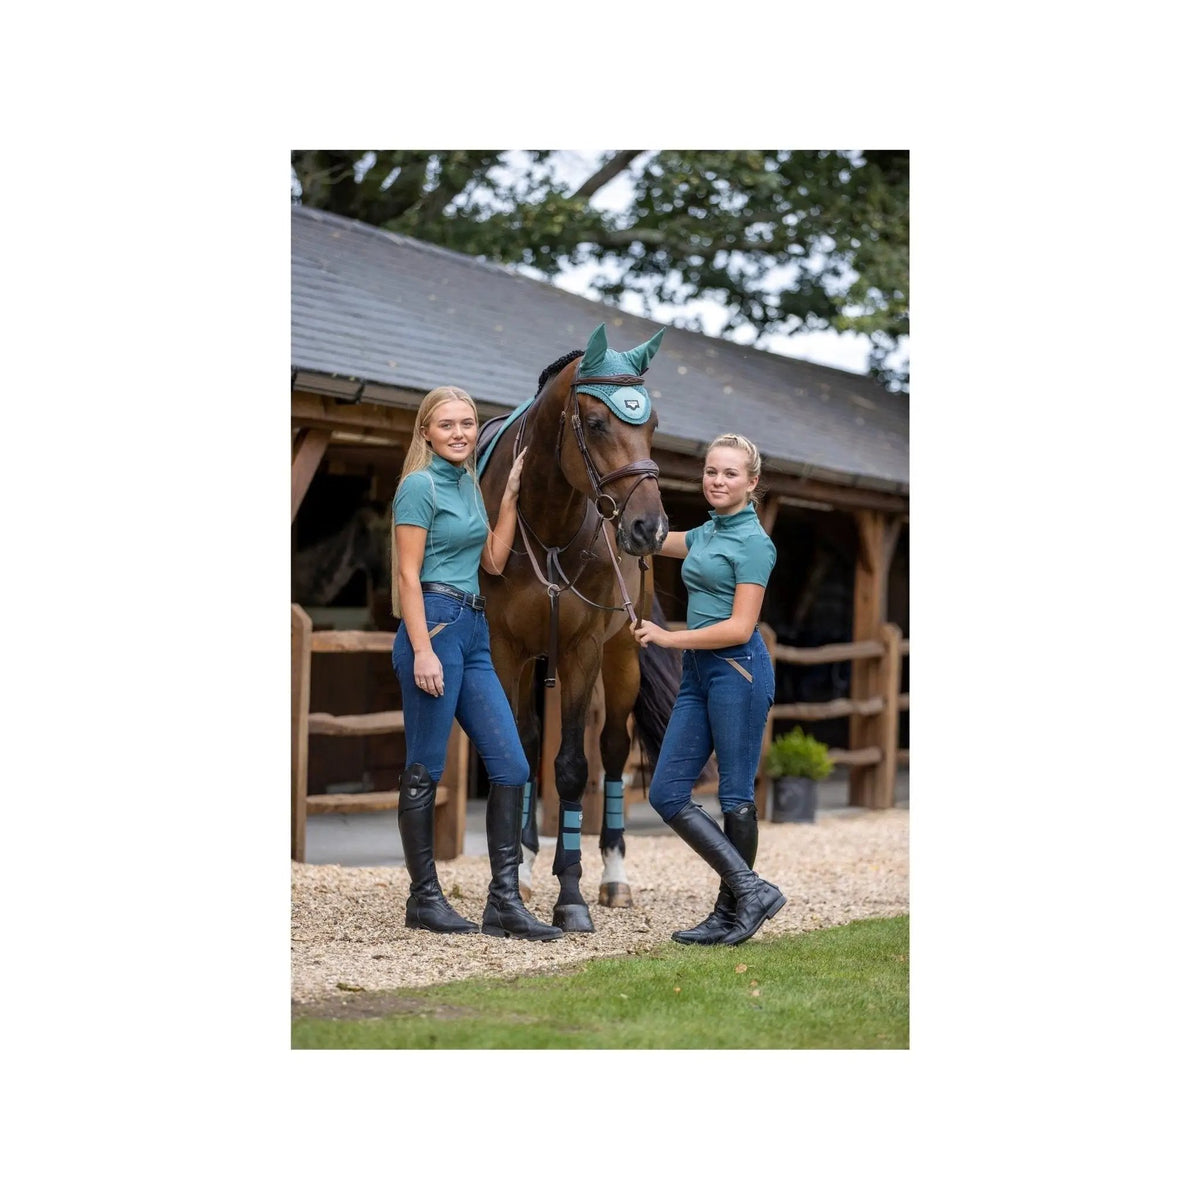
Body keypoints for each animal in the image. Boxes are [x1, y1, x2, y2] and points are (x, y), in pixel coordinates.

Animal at [477, 322, 675, 932]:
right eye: (595, 423)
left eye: (653, 426)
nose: (650, 527)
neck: (544, 523)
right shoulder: (504, 648)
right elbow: (515, 754)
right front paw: (513, 880)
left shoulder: (583, 650)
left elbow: (569, 767)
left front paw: (572, 896)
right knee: (528, 741)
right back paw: (527, 864)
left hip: (622, 657)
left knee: (611, 748)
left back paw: (613, 876)